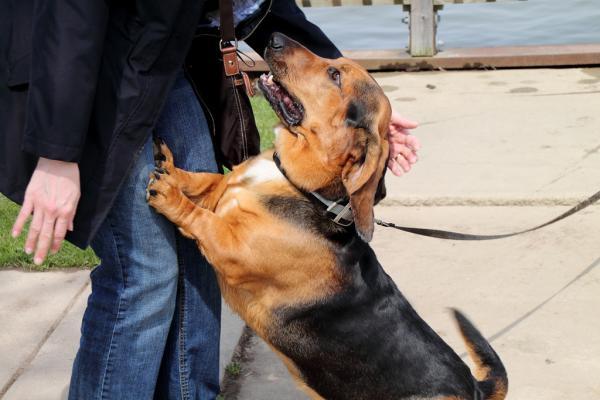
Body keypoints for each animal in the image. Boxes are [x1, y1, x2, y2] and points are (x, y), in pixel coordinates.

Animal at [145, 34, 506, 400]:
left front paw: (170, 195)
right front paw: (171, 169)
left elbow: (202, 219)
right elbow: (206, 180)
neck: (300, 185)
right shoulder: (220, 190)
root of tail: (475, 387)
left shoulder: (232, 249)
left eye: (335, 75)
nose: (274, 37)